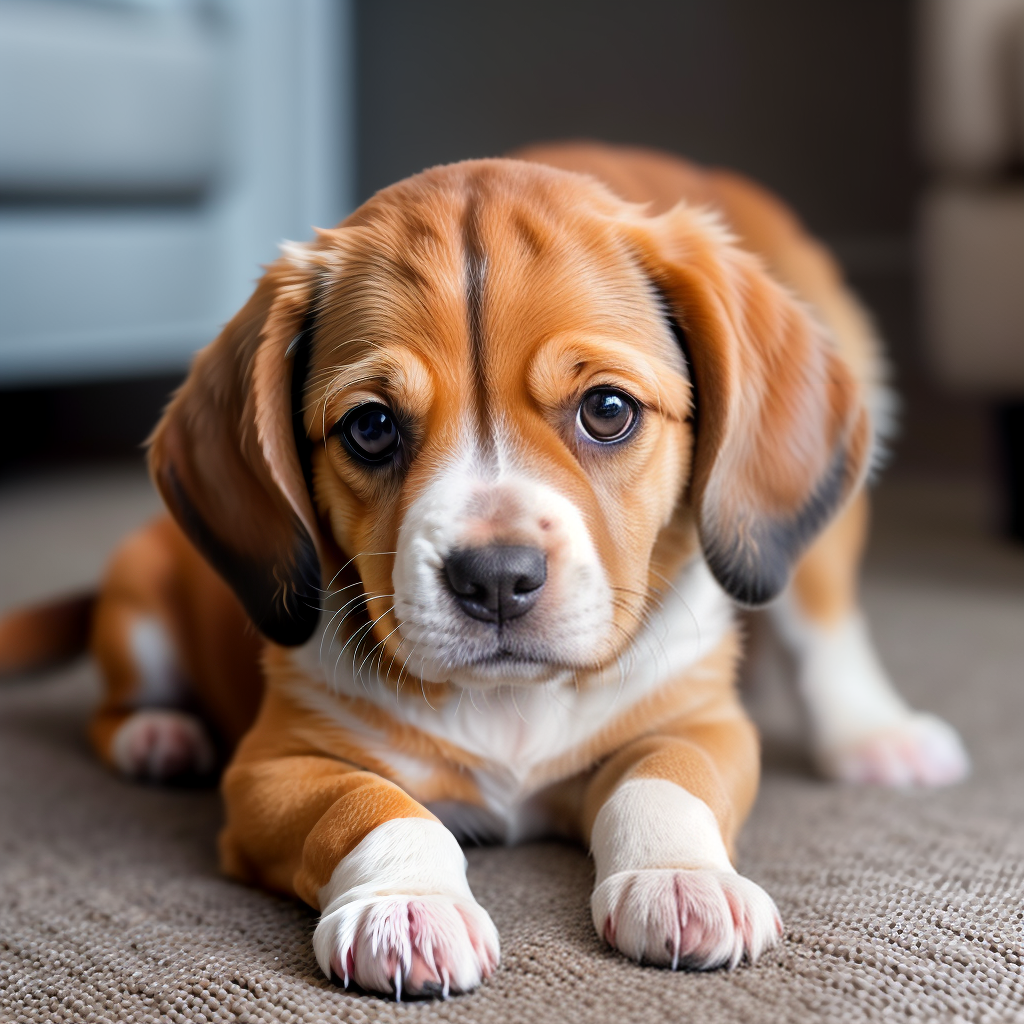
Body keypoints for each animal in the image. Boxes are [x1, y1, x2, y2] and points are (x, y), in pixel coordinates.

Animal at [0, 144, 966, 999]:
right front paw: (407, 903)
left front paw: (682, 880)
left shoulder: (701, 723)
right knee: (114, 708)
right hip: (139, 615)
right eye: (371, 427)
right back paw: (159, 735)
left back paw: (874, 734)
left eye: (607, 409)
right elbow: (371, 806)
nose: (496, 578)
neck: (513, 708)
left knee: (824, 624)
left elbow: (664, 781)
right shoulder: (276, 768)